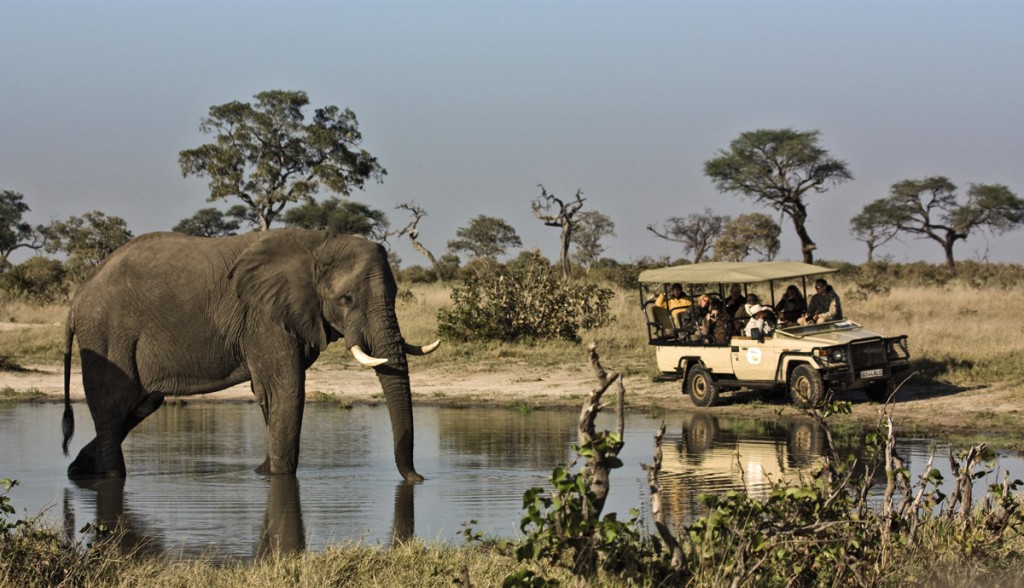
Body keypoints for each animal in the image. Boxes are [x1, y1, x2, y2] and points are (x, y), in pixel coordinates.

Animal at [59, 228, 436, 481]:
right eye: (347, 300)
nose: (418, 479)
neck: (319, 242)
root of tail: (77, 298)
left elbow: (270, 394)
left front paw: (263, 472)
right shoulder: (263, 318)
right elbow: (285, 390)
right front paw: (277, 477)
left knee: (139, 405)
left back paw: (79, 470)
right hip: (106, 335)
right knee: (115, 405)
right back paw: (110, 477)